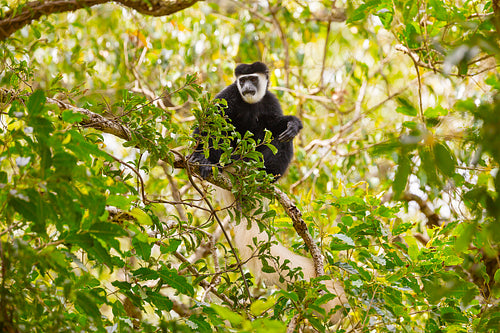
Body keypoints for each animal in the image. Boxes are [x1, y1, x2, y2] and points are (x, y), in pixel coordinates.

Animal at [189, 62, 346, 322]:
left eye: (253, 78)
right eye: (242, 81)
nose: (248, 87)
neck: (250, 102)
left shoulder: (270, 100)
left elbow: (277, 123)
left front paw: (293, 124)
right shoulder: (228, 95)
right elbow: (209, 121)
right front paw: (197, 156)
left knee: (280, 137)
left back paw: (264, 173)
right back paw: (210, 163)